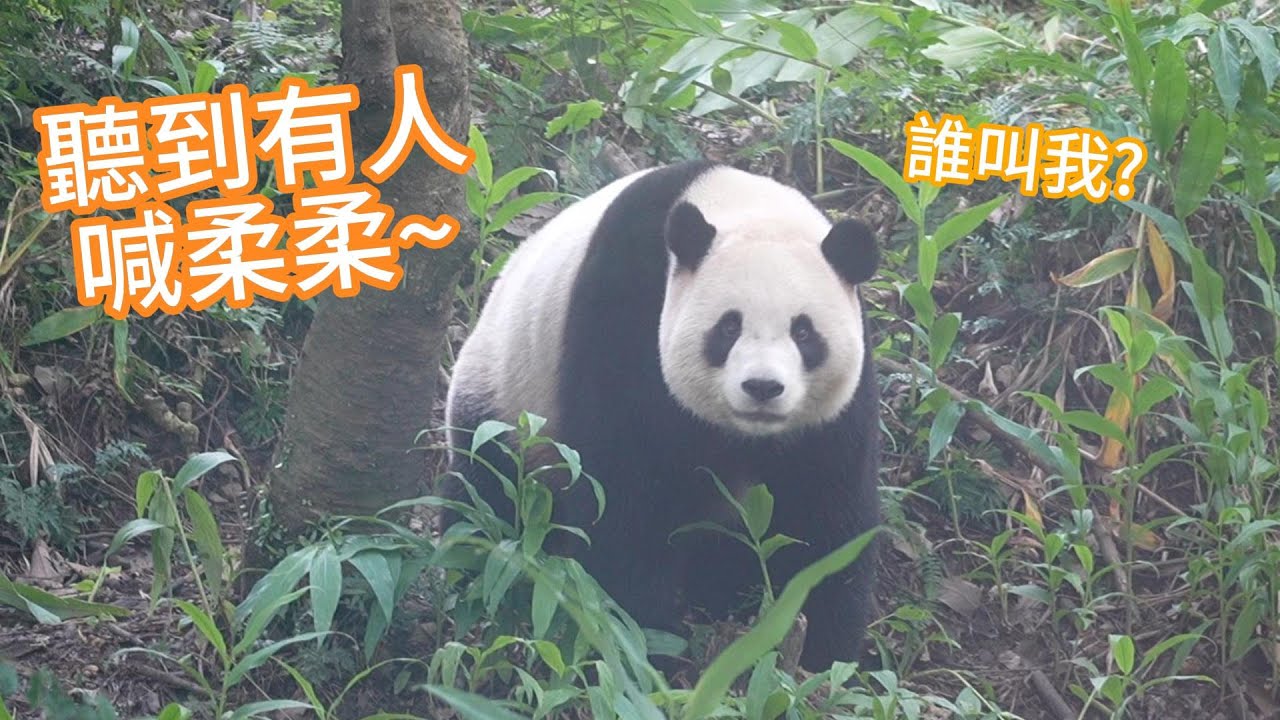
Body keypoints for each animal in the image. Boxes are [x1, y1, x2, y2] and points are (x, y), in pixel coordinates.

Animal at [442, 159, 881, 672]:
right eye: (728, 327)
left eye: (804, 332)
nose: (763, 387)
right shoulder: (625, 312)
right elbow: (625, 495)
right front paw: (647, 642)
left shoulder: (834, 418)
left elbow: (826, 518)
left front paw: (820, 658)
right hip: (506, 400)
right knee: (488, 492)